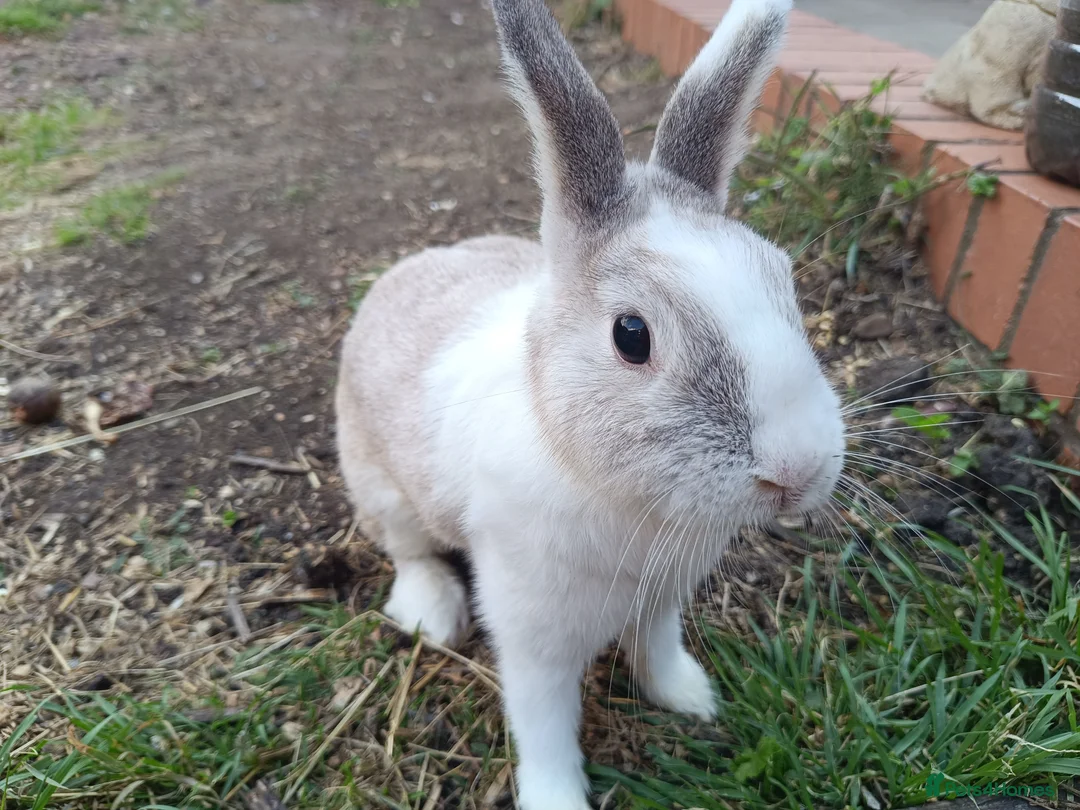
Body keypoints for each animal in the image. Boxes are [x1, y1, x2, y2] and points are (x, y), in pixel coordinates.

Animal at [334, 0, 845, 806]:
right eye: (631, 336)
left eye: (785, 280)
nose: (797, 472)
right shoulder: (531, 635)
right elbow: (544, 724)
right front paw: (557, 796)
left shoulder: (663, 598)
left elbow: (657, 650)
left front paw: (690, 699)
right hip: (380, 486)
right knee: (409, 548)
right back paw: (431, 615)